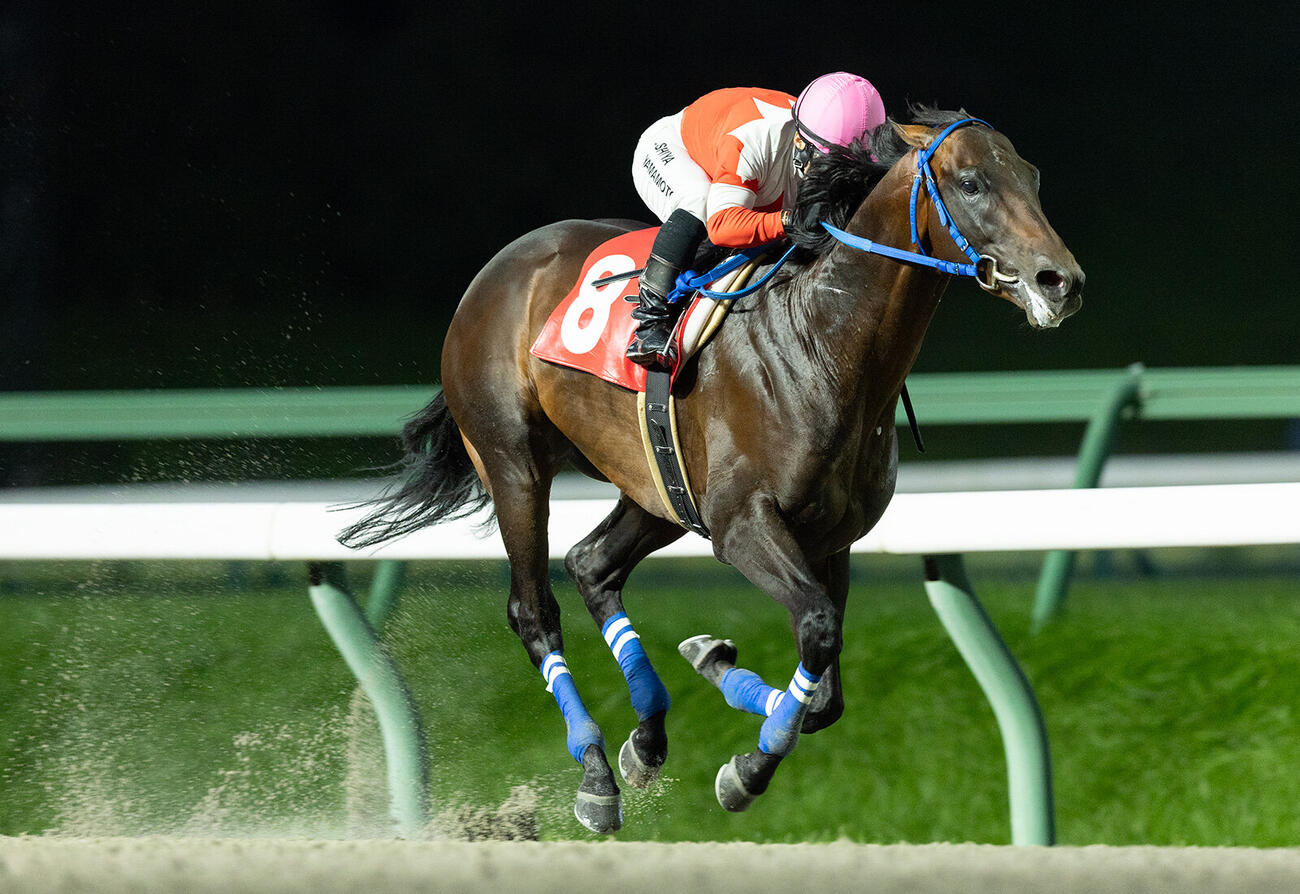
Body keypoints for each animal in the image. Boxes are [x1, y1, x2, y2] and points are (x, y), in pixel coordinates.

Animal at [340, 107, 1084, 834]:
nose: (1062, 282)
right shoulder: (742, 524)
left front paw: (714, 667)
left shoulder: (831, 540)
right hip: (514, 465)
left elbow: (825, 695)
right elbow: (818, 632)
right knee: (534, 610)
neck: (822, 341)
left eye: (1032, 177)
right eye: (971, 183)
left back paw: (645, 739)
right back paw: (596, 774)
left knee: (592, 565)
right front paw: (745, 772)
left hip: (659, 486)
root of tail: (493, 272)